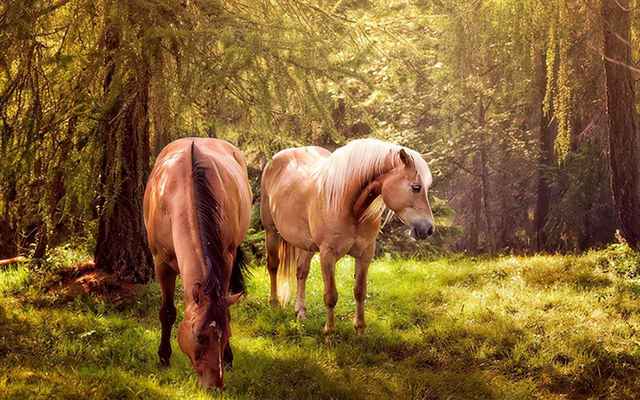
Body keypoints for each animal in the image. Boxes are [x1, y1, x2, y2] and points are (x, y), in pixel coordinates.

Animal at [144, 139, 251, 390]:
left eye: (226, 335)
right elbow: (168, 312)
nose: (215, 385)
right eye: (200, 337)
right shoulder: (161, 263)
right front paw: (164, 358)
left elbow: (226, 310)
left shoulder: (226, 259)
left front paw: (228, 358)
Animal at [260, 138, 436, 334]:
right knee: (273, 266)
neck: (349, 207)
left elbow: (360, 291)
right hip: (271, 232)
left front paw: (359, 329)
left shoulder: (365, 254)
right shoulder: (327, 255)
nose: (429, 229)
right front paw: (329, 331)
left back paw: (300, 312)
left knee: (301, 272)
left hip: (306, 244)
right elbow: (330, 296)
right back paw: (274, 304)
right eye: (416, 187)